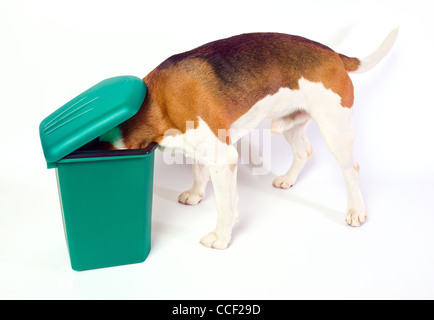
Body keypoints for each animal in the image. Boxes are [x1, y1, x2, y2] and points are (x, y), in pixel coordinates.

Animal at [98, 29, 396, 250]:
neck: (156, 102)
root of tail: (334, 54)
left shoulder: (223, 158)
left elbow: (225, 206)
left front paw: (221, 237)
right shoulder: (202, 148)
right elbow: (198, 172)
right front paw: (195, 195)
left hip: (336, 129)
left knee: (351, 169)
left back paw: (356, 210)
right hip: (289, 124)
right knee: (305, 152)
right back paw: (288, 179)